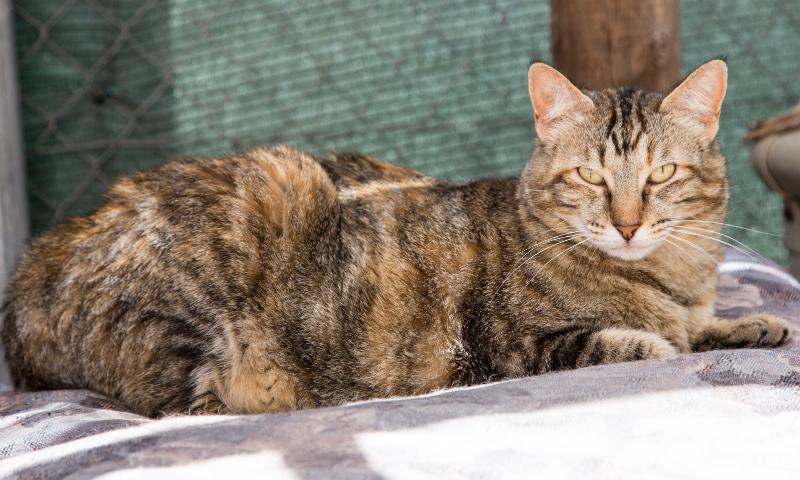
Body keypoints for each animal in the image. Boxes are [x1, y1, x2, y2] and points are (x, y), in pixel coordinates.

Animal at [2, 59, 791, 417]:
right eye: (590, 178)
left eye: (662, 174)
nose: (627, 224)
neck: (669, 277)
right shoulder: (512, 346)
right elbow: (627, 341)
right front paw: (658, 341)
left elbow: (703, 327)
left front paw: (753, 324)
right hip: (258, 208)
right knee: (187, 409)